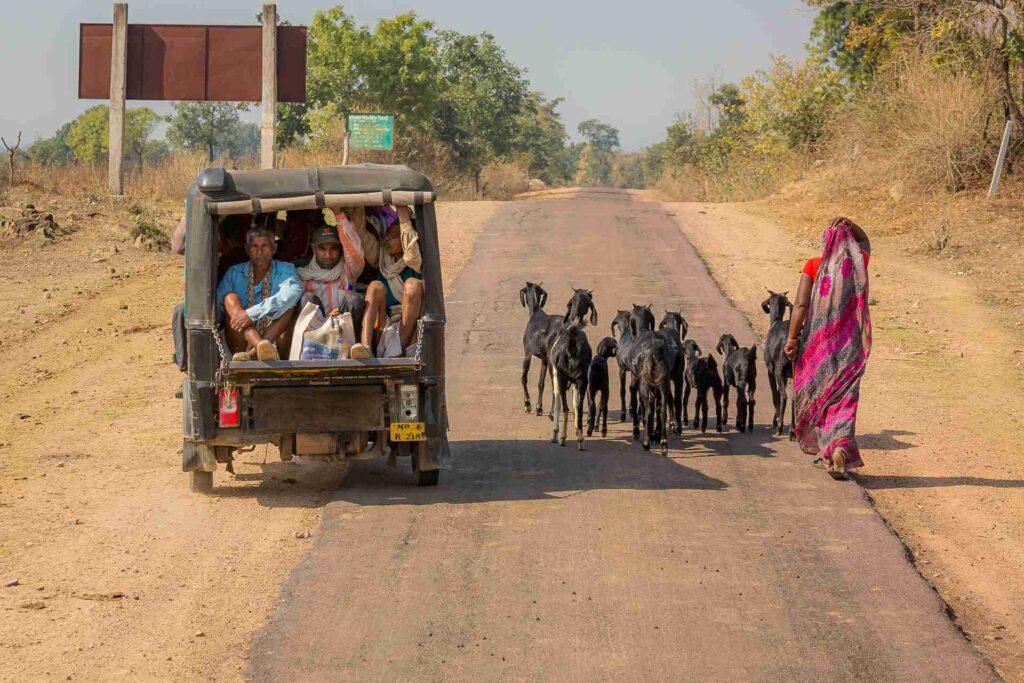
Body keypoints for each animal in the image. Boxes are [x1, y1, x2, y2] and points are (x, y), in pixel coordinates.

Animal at [520, 282, 561, 417]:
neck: (535, 312)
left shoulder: (527, 354)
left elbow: (523, 379)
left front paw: (527, 404)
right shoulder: (544, 360)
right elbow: (541, 384)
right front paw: (539, 407)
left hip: (553, 363)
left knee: (556, 386)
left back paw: (553, 413)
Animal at [548, 290, 598, 450]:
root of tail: (572, 344)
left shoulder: (555, 374)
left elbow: (557, 401)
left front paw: (555, 433)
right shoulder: (577, 381)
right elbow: (576, 403)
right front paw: (577, 430)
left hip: (562, 377)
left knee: (564, 406)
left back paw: (562, 438)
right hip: (582, 380)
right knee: (579, 407)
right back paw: (581, 440)